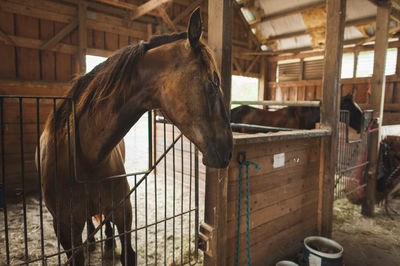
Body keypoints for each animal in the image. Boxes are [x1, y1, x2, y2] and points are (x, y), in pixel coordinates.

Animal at [38, 8, 231, 266]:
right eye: (214, 82)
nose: (229, 150)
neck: (85, 156)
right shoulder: (65, 230)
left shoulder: (123, 211)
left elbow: (128, 253)